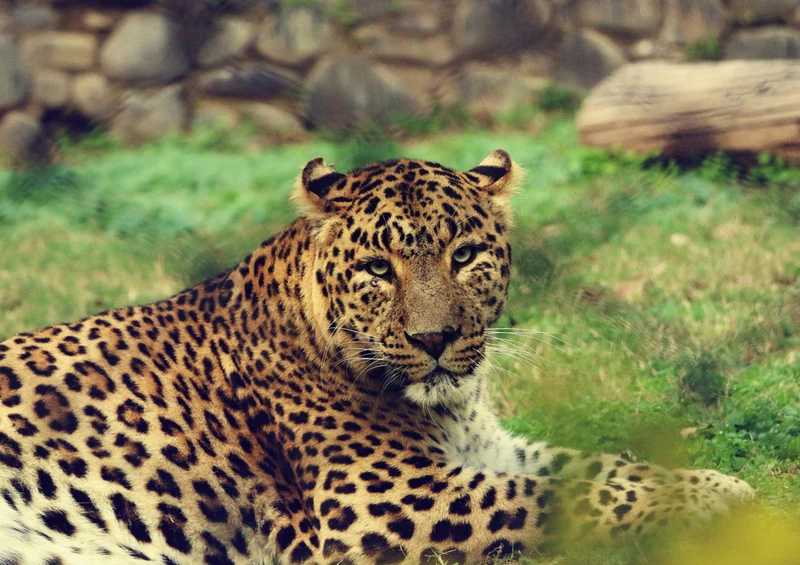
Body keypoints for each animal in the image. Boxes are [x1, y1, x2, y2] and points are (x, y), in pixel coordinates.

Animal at [0, 149, 754, 565]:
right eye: (376, 268)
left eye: (465, 255)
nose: (434, 339)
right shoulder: (374, 501)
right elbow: (554, 496)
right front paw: (717, 499)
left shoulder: (492, 449)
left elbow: (598, 467)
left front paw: (712, 480)